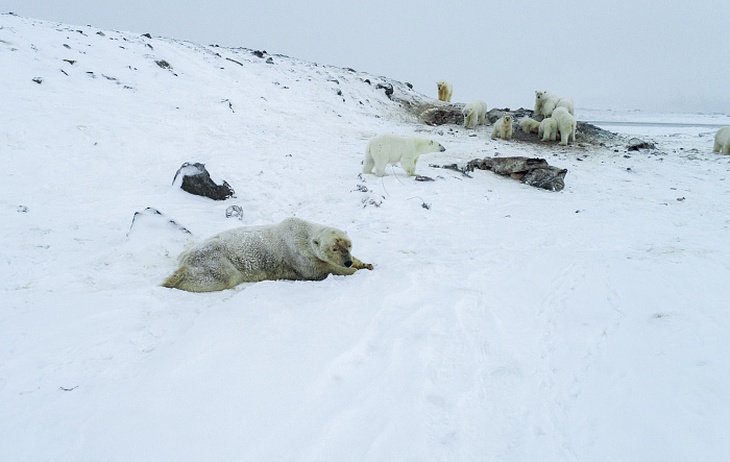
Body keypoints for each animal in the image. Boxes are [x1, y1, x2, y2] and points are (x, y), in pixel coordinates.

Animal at [161, 217, 372, 292]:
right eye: (334, 248)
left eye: (349, 245)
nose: (347, 262)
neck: (303, 233)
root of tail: (185, 256)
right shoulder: (298, 255)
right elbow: (319, 269)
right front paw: (351, 271)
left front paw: (364, 264)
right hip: (215, 259)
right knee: (219, 276)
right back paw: (172, 279)